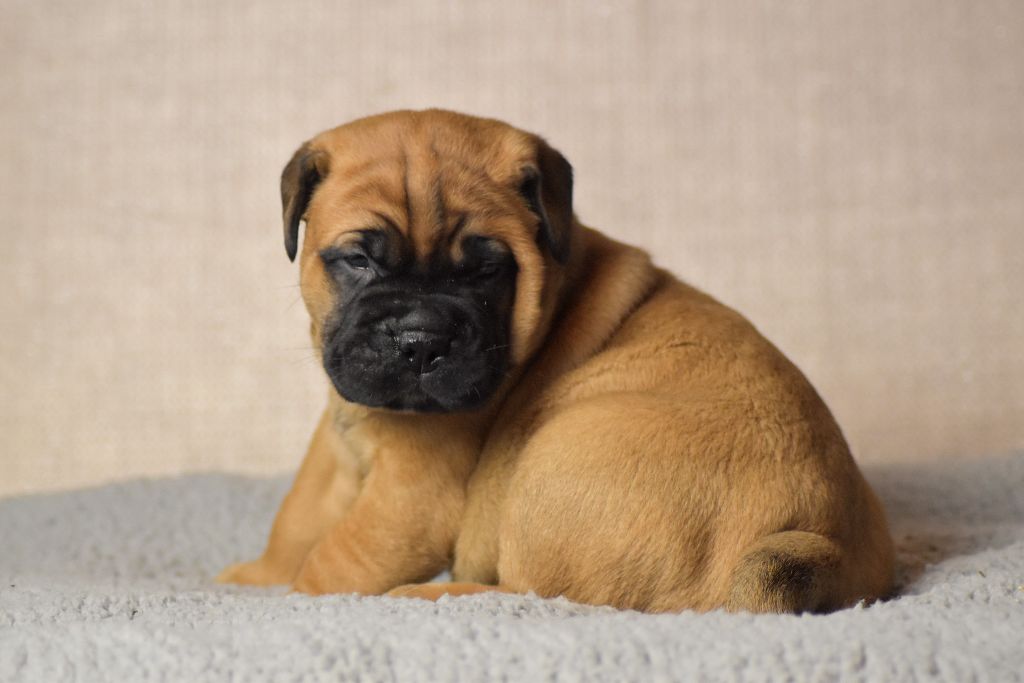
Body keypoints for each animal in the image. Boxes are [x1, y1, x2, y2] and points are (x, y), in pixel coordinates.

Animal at [217, 109, 894, 613]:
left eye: (487, 272)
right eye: (359, 261)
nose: (419, 339)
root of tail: (824, 545)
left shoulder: (408, 497)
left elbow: (335, 559)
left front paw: (291, 600)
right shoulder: (339, 445)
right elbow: (300, 515)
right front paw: (255, 575)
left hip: (553, 459)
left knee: (540, 594)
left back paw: (428, 597)